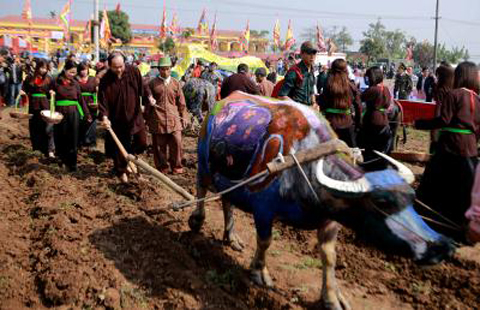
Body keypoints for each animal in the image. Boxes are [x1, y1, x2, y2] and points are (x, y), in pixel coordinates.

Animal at [188, 92, 454, 310]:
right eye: (382, 203)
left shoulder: (331, 220)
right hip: (204, 164)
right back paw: (197, 221)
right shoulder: (263, 210)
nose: (441, 246)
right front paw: (259, 273)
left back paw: (231, 237)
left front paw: (332, 297)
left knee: (227, 202)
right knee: (202, 189)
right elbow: (265, 241)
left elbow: (329, 257)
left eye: (412, 199)